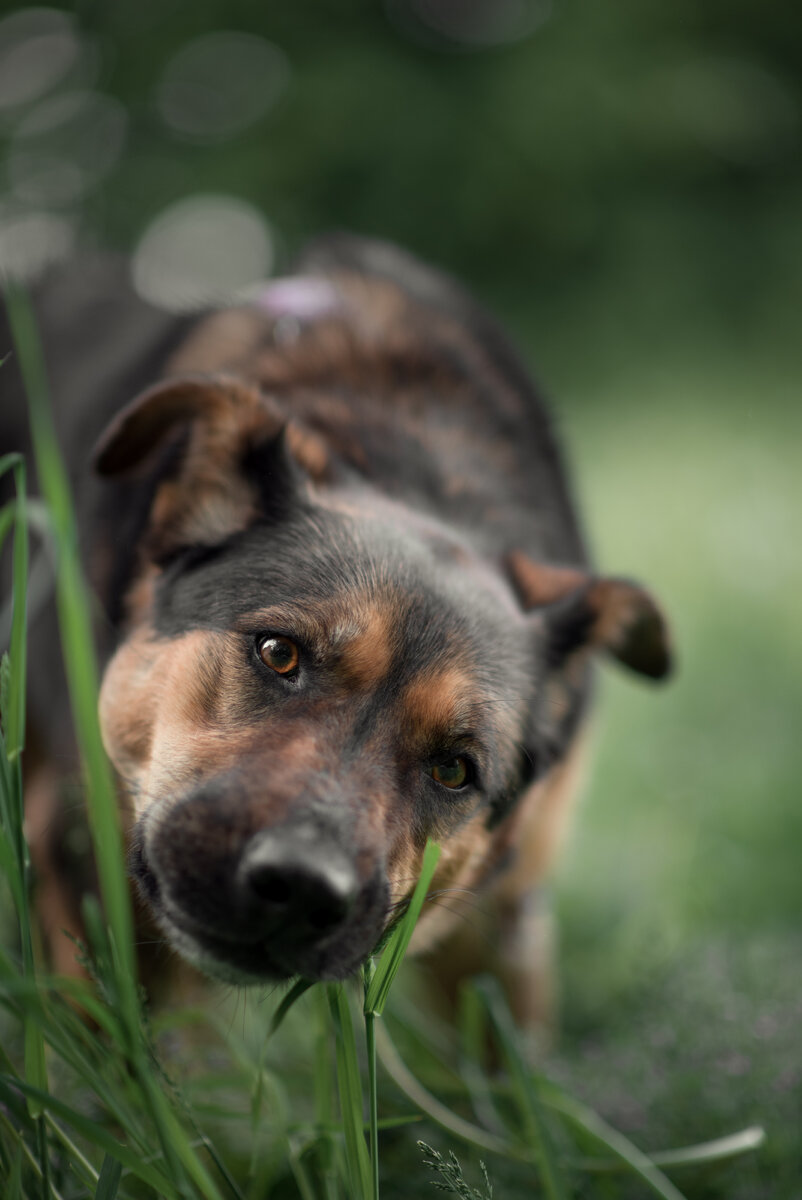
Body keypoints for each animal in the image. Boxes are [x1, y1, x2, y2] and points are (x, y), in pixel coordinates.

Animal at [0, 236, 672, 1032]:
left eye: (456, 769)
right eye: (277, 653)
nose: (299, 886)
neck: (416, 461)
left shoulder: (503, 927)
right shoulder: (86, 860)